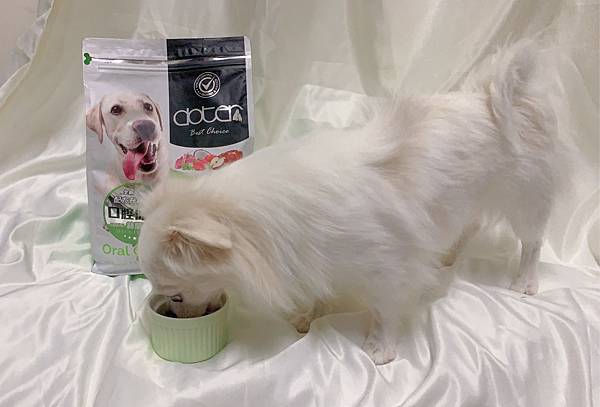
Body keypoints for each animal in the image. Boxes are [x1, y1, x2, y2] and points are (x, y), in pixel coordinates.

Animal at [138, 41, 568, 364]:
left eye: (177, 296)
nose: (172, 313)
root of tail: (492, 96)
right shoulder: (317, 255)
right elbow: (318, 287)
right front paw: (307, 315)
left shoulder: (389, 267)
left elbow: (385, 309)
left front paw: (381, 348)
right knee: (470, 225)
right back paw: (446, 257)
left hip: (524, 198)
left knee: (532, 241)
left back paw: (525, 281)